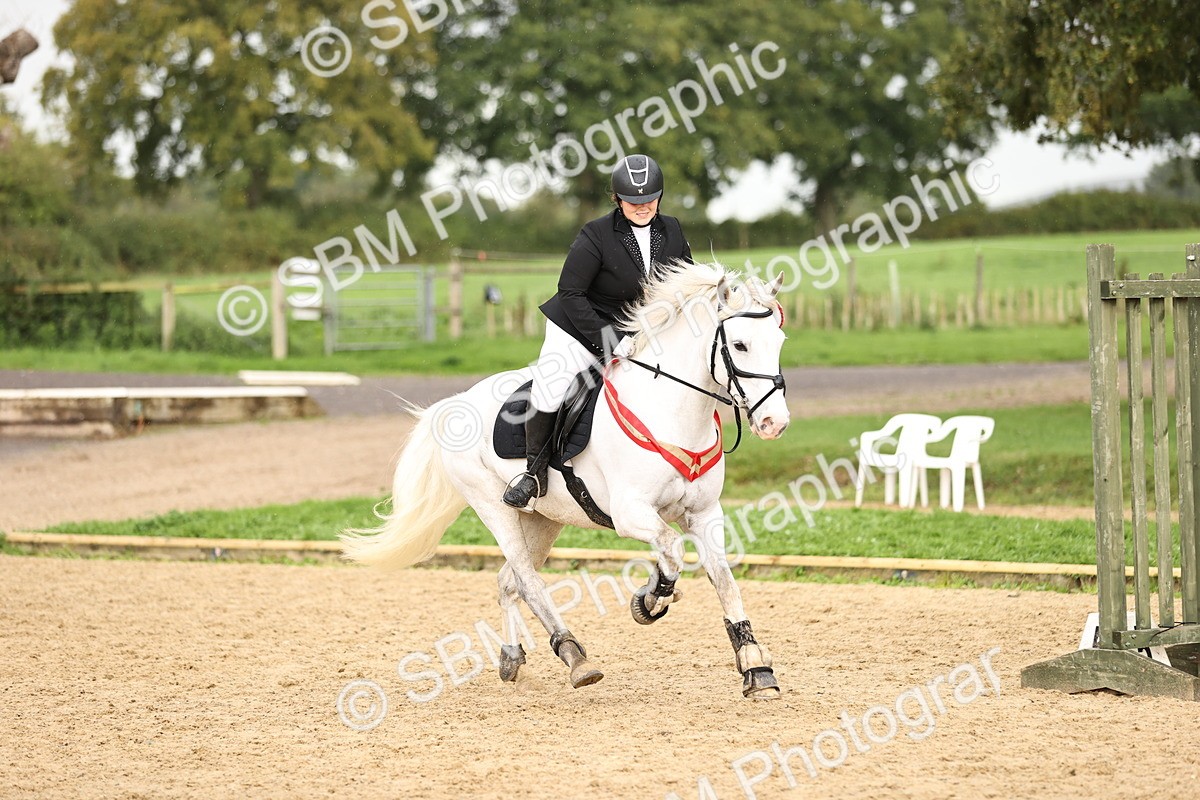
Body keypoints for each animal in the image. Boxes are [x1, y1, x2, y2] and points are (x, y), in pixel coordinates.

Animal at [340, 261, 791, 699]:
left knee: (508, 582)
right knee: (526, 580)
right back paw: (575, 657)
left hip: (544, 518)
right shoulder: (631, 513)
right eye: (740, 345)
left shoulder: (704, 513)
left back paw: (512, 658)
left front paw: (755, 666)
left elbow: (724, 580)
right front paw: (650, 600)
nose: (775, 424)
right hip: (492, 506)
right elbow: (672, 550)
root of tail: (453, 403)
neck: (674, 413)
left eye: (780, 341)